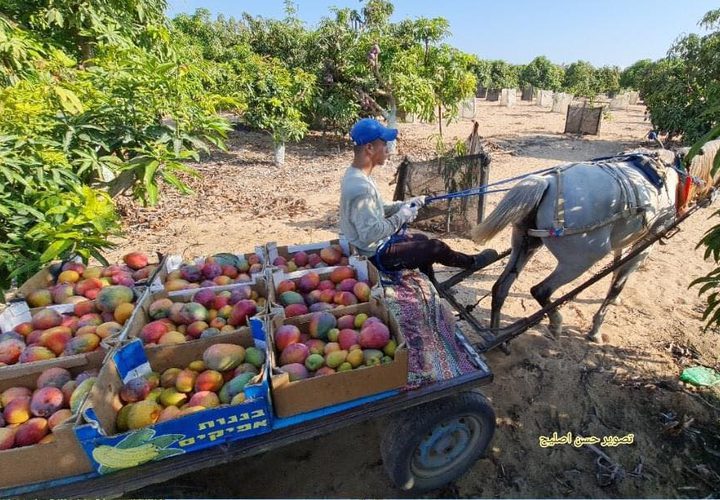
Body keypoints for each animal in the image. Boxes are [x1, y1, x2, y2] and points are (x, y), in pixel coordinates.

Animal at [472, 143, 720, 342]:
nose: (711, 197)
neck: (676, 176)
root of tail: (547, 181)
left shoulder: (623, 240)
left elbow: (617, 272)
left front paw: (614, 302)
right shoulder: (646, 243)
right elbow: (619, 281)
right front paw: (596, 329)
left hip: (526, 243)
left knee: (500, 288)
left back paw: (495, 337)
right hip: (580, 260)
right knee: (541, 291)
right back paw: (555, 323)